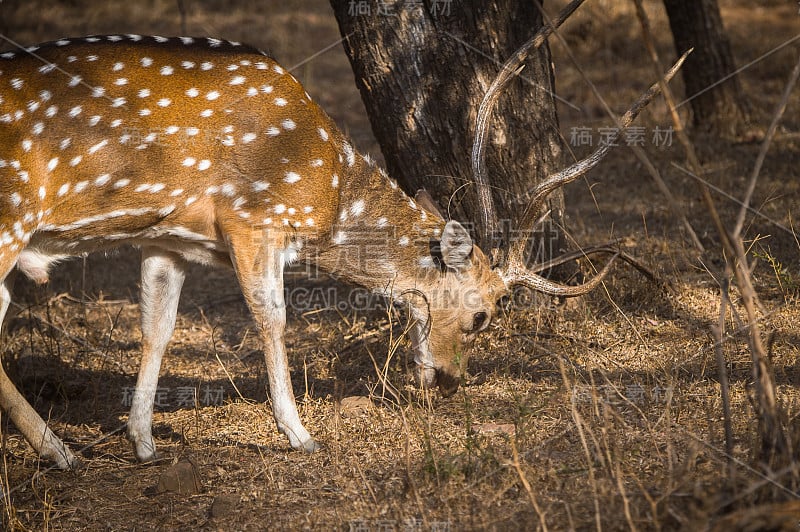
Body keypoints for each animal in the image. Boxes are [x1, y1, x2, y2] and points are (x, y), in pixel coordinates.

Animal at [0, 18, 684, 468]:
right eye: (484, 316)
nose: (449, 380)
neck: (324, 187)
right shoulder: (254, 219)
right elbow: (272, 319)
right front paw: (300, 434)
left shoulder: (169, 237)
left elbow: (157, 326)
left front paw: (142, 440)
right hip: (11, 215)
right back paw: (58, 450)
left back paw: (59, 448)